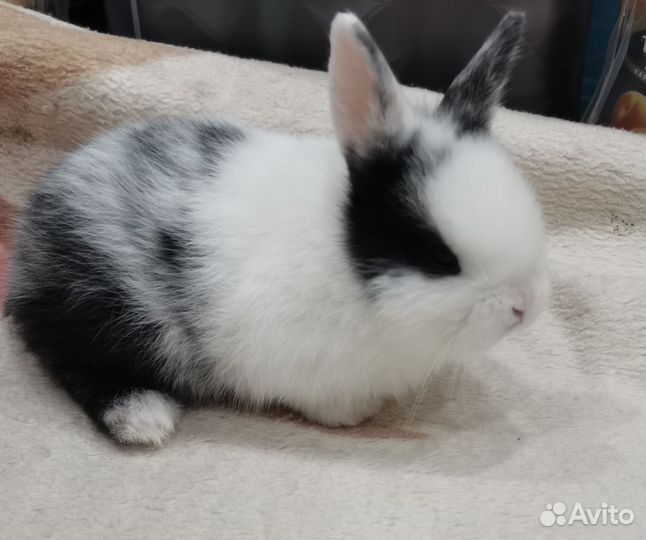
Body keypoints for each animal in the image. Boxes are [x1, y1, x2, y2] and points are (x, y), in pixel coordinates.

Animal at [5, 11, 550, 446]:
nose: (523, 308)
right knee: (73, 361)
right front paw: (357, 415)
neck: (346, 263)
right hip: (104, 311)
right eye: (439, 256)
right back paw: (144, 420)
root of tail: (29, 242)